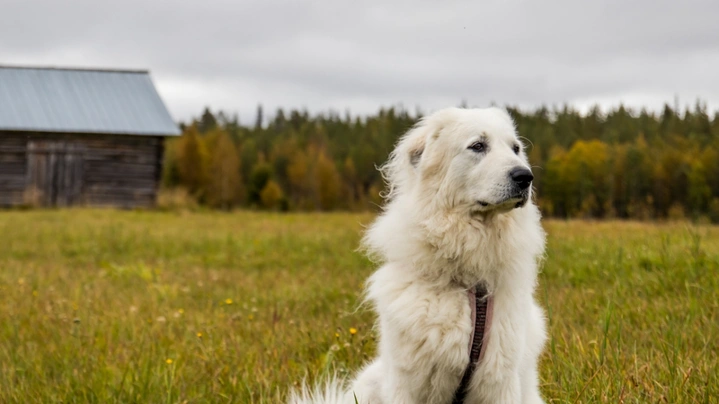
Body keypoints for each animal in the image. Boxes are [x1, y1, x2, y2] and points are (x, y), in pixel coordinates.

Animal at [292, 107, 544, 404]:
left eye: (515, 148)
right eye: (478, 146)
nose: (525, 176)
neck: (465, 282)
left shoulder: (500, 380)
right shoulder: (405, 380)